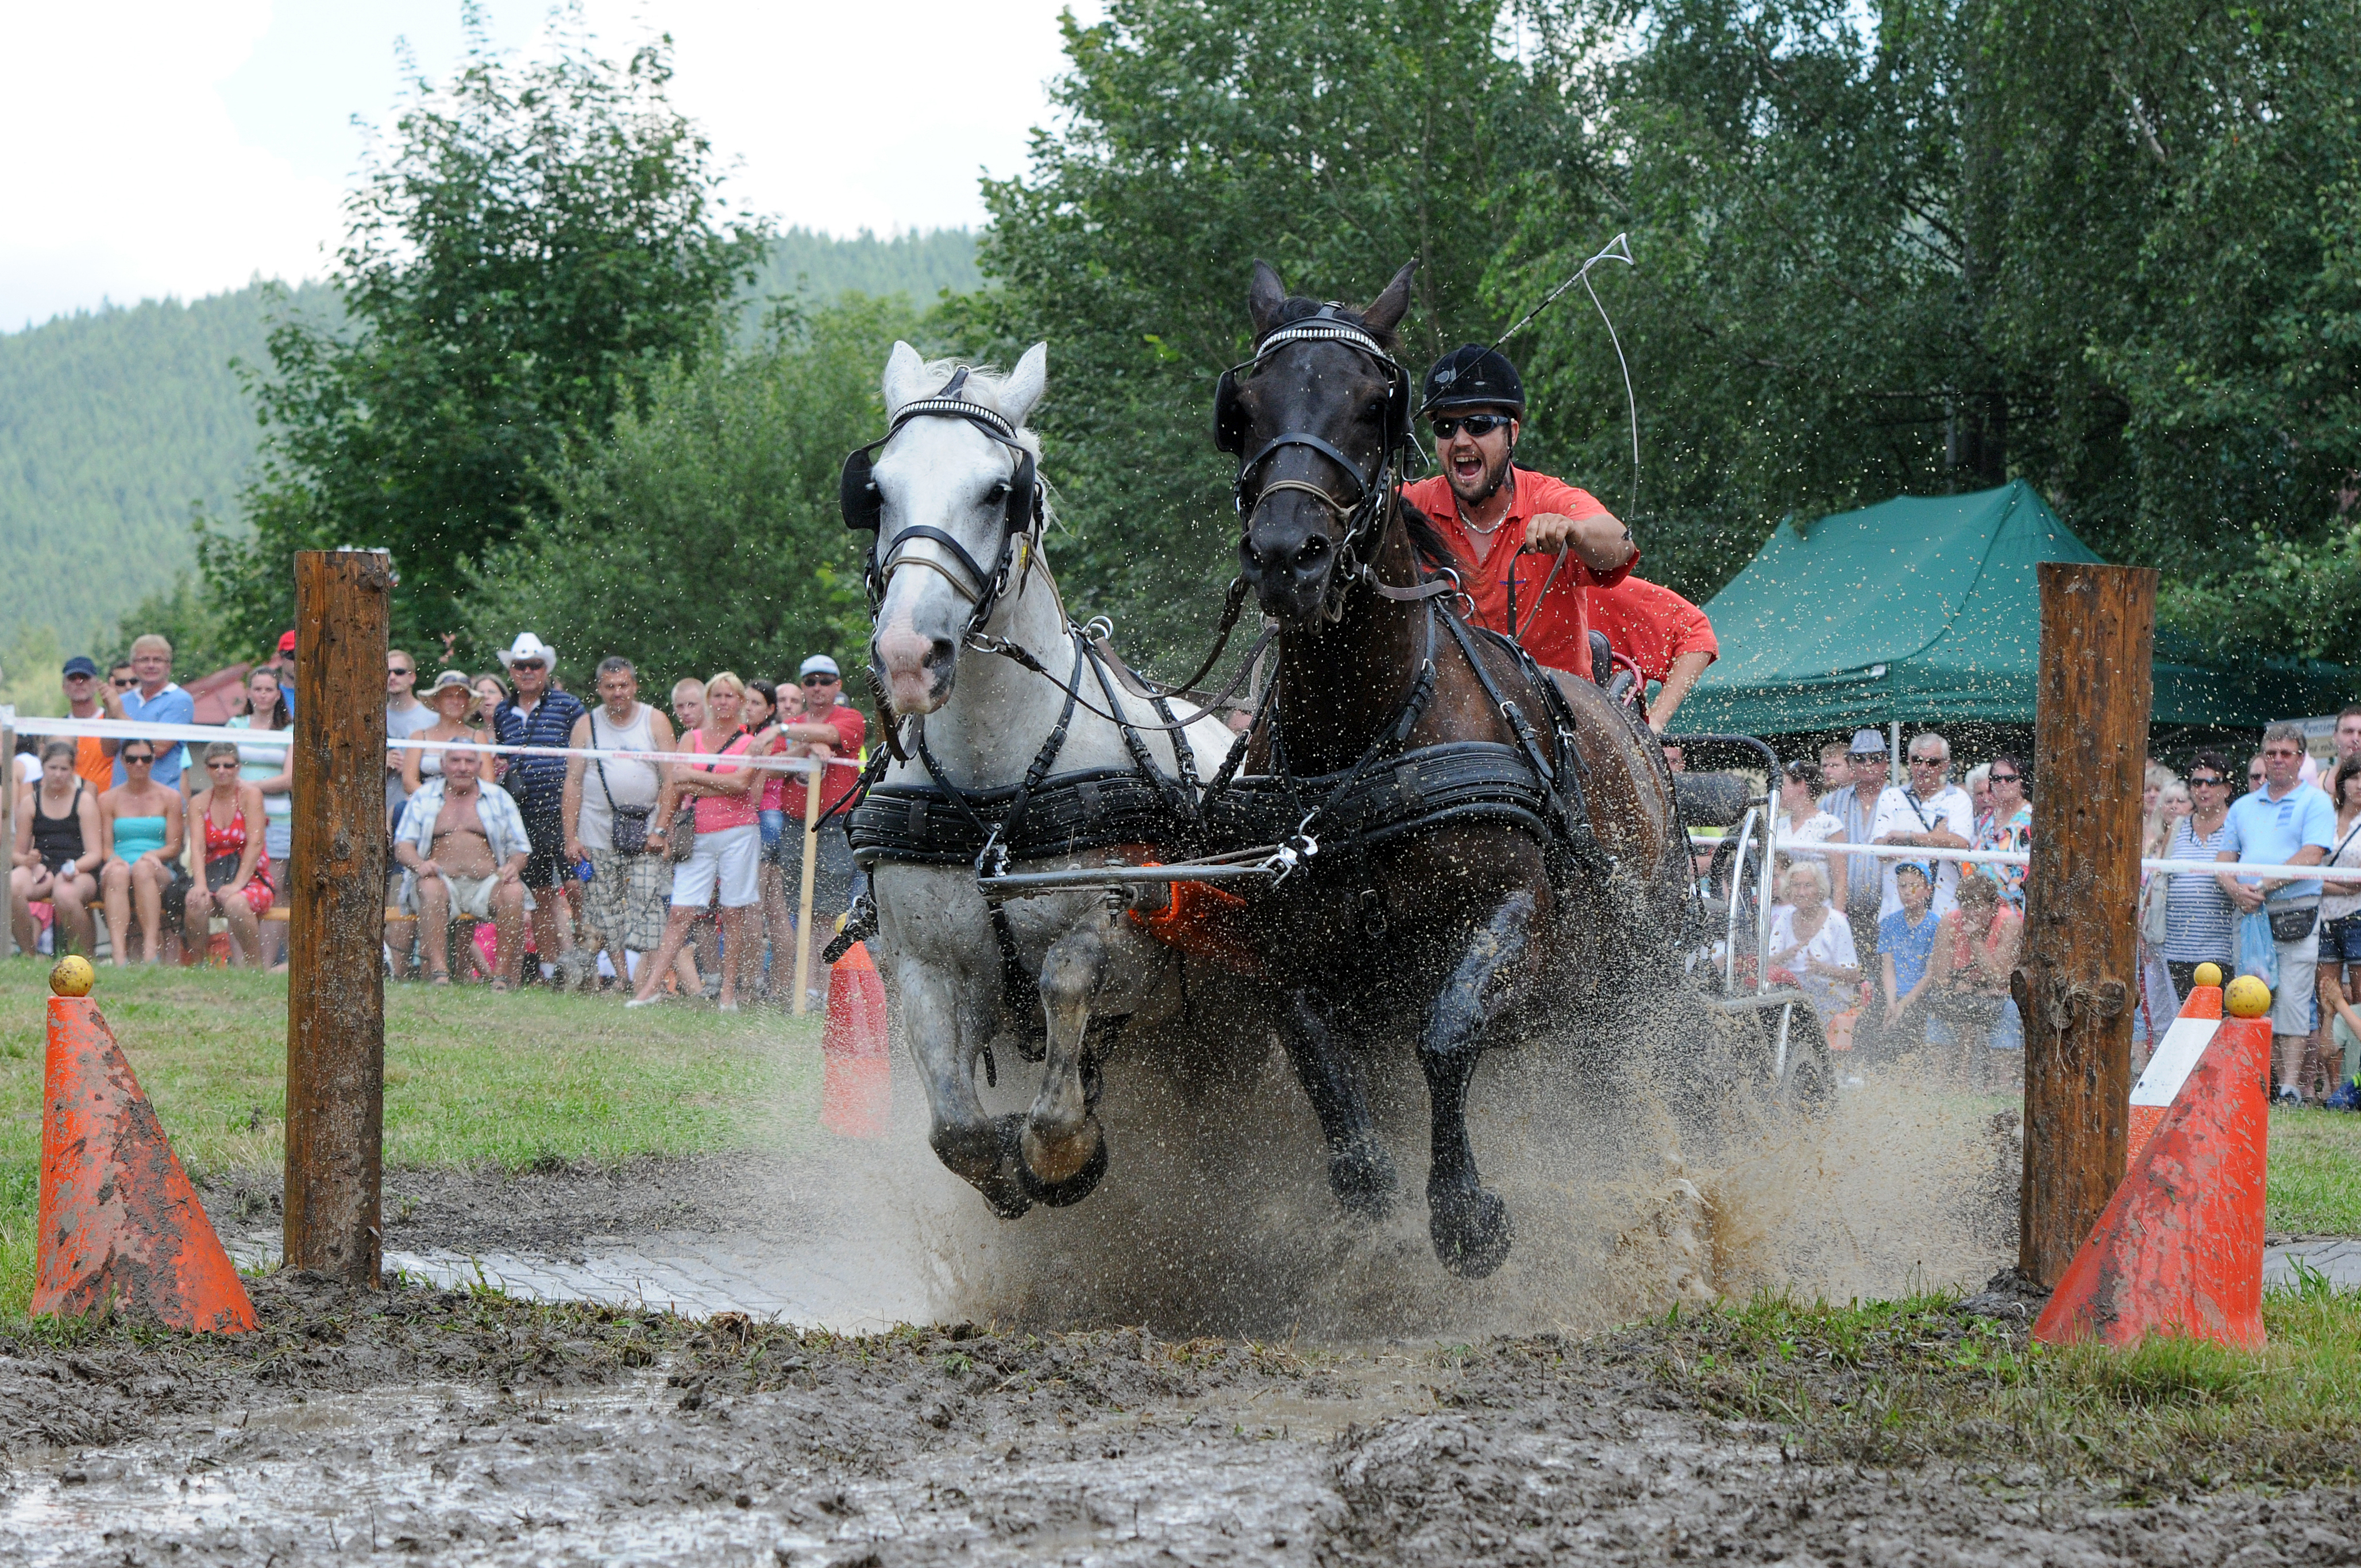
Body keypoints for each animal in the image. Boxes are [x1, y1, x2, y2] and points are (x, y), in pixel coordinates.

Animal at [864, 342, 1237, 1218]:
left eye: (999, 490)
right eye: (877, 489)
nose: (907, 655)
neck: (993, 789)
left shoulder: (1127, 933)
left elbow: (1068, 977)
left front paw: (1061, 1155)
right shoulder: (924, 966)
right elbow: (956, 1130)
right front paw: (1006, 1169)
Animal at [1218, 263, 1700, 1284]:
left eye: (1374, 403)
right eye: (1245, 407)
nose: (1286, 556)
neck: (1368, 738)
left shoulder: (1514, 912)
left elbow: (1446, 1032)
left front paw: (1466, 1214)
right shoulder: (1293, 951)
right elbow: (1317, 1058)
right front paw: (1369, 1185)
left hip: (1632, 983)